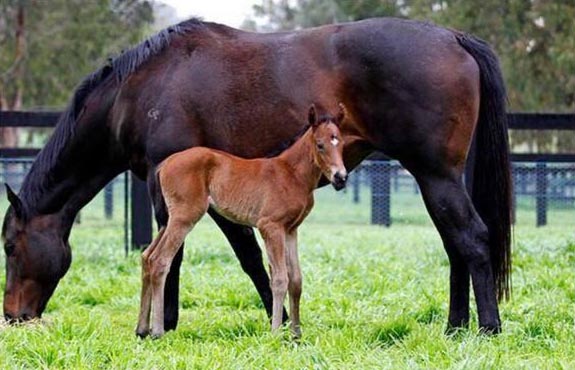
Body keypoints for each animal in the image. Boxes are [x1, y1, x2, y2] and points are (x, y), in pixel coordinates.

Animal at [137, 103, 348, 338]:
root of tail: (165, 164)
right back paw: (157, 330)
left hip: (170, 220)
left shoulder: (291, 230)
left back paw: (142, 329)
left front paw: (296, 334)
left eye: (340, 142)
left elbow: (296, 280)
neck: (292, 173)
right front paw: (276, 333)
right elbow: (280, 278)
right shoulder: (270, 226)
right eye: (320, 145)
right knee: (160, 260)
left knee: (147, 256)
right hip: (184, 218)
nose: (341, 177)